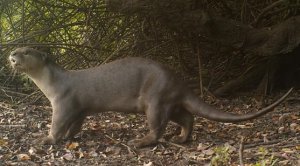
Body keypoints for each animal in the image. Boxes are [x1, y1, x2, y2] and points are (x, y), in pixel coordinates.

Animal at [9, 47, 292, 147]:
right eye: (17, 48)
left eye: (26, 51)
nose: (11, 54)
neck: (54, 83)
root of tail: (177, 79)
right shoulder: (79, 109)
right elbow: (75, 125)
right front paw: (70, 137)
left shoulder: (64, 103)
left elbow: (57, 125)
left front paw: (45, 139)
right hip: (169, 101)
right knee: (187, 117)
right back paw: (181, 138)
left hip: (155, 100)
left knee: (158, 127)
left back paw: (140, 141)